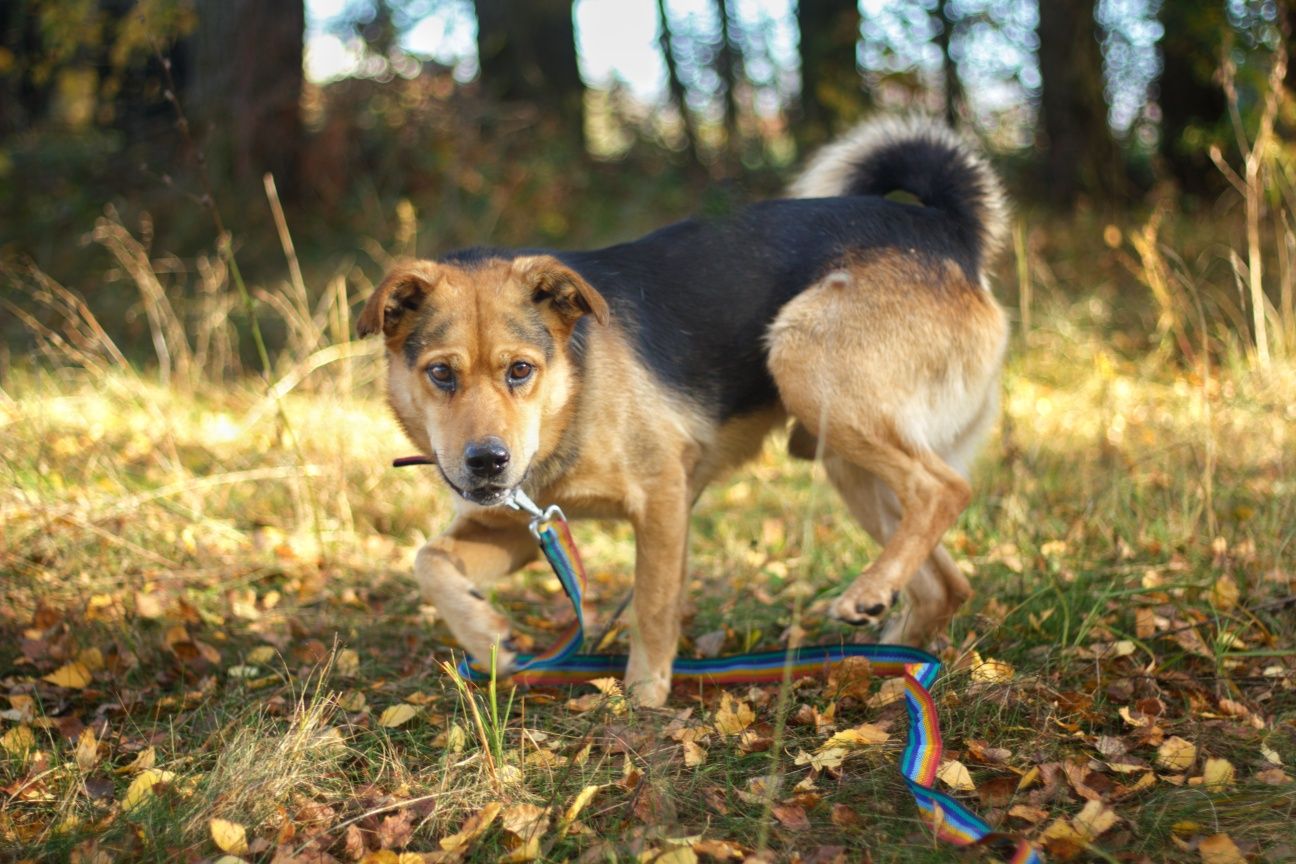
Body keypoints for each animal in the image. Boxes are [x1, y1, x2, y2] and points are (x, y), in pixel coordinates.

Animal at [357, 118, 1010, 704]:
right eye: (441, 373)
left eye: (520, 370)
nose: (488, 463)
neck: (573, 395)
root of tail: (942, 226)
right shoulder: (519, 526)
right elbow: (428, 561)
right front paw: (487, 637)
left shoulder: (663, 497)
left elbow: (651, 604)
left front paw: (644, 698)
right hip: (844, 458)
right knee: (945, 583)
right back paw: (892, 668)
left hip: (802, 358)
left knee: (944, 489)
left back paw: (872, 596)